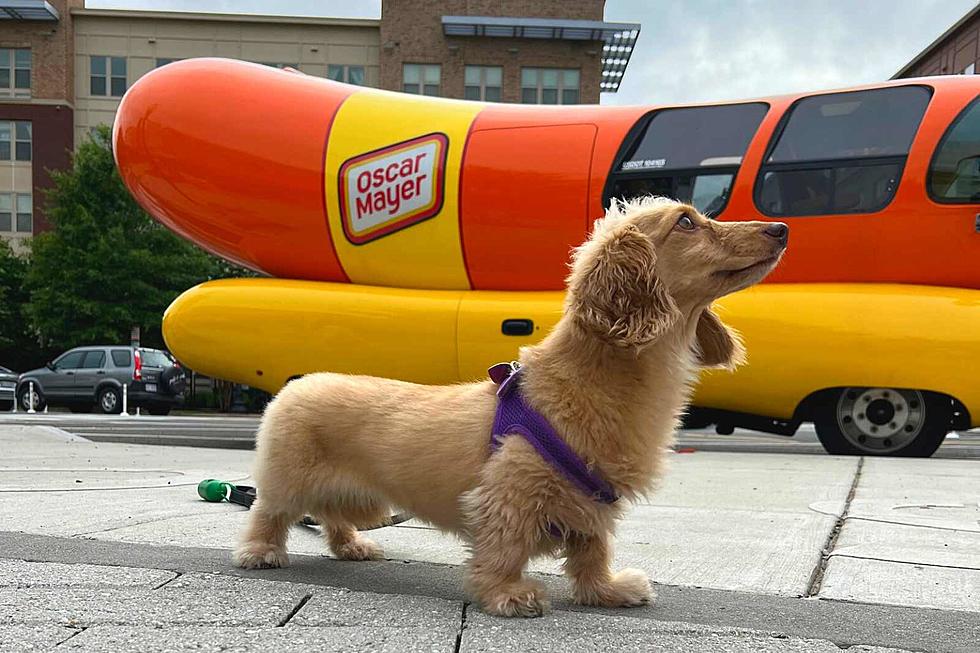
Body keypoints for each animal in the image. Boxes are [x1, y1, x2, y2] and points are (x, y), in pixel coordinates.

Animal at [235, 195, 788, 616]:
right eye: (686, 222)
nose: (781, 228)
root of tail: (302, 383)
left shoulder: (594, 500)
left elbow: (593, 550)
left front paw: (606, 591)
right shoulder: (511, 492)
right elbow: (504, 549)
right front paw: (507, 594)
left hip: (349, 494)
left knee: (332, 516)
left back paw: (351, 545)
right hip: (287, 481)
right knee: (270, 513)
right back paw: (261, 552)